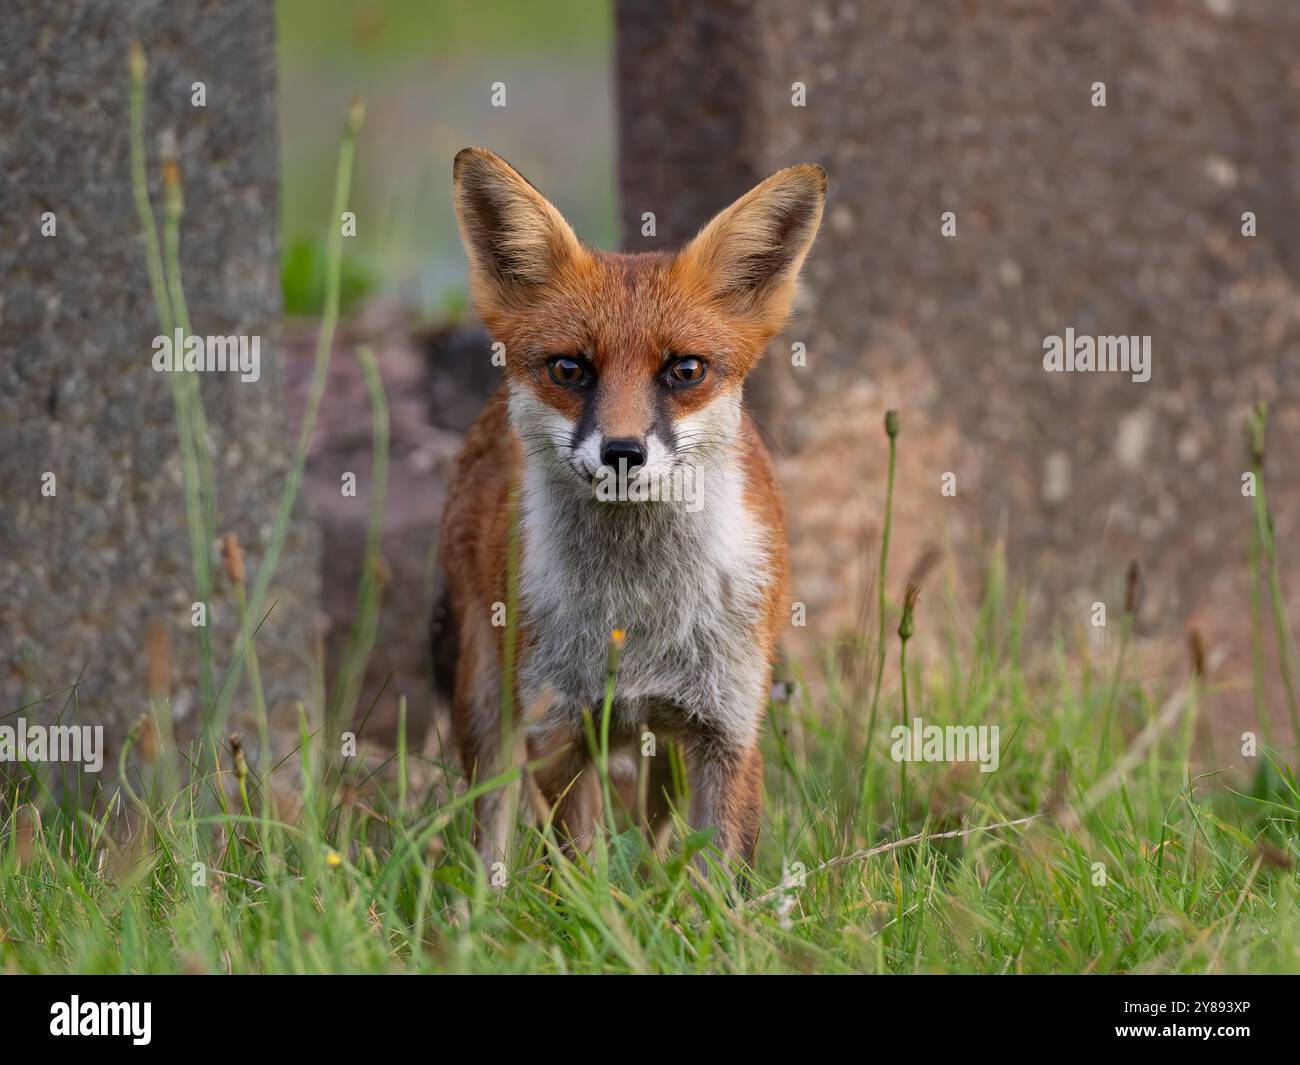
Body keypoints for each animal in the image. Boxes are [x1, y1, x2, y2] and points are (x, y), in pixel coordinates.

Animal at [436, 146, 826, 872]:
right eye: (569, 369)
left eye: (685, 370)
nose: (622, 451)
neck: (638, 614)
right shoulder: (559, 729)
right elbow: (583, 873)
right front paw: (598, 906)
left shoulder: (728, 731)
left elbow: (717, 880)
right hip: (486, 700)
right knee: (491, 830)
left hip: (662, 751)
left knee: (653, 838)